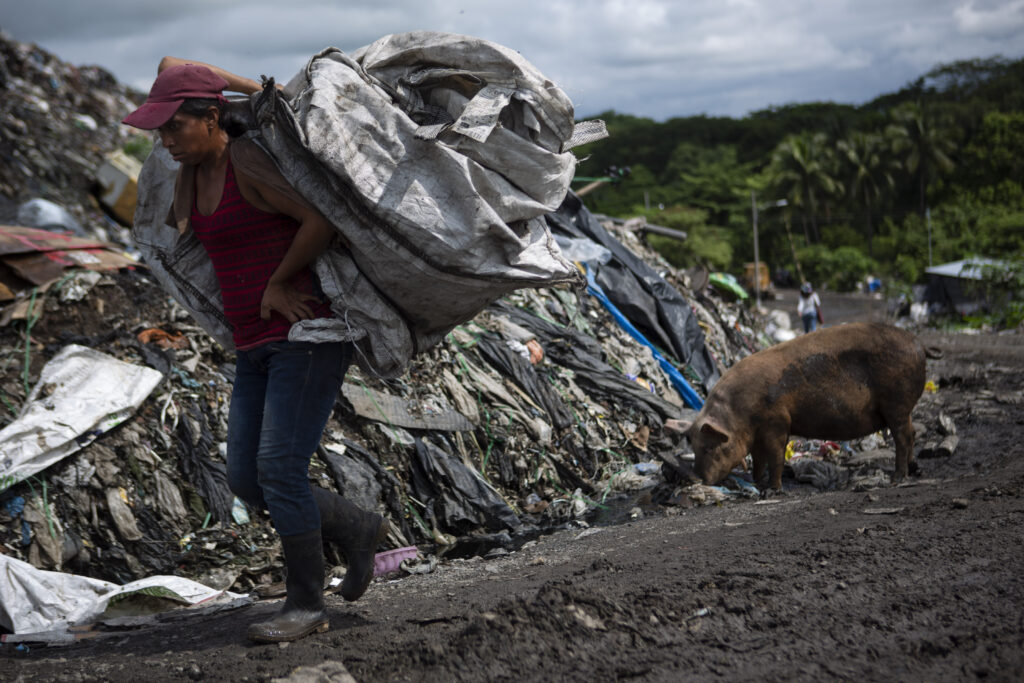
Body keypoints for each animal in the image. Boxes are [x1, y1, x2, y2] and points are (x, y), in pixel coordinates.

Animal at [688, 325, 929, 491]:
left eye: (709, 448)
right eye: (694, 448)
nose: (697, 479)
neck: (739, 414)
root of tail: (918, 344)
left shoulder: (777, 420)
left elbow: (775, 455)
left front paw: (772, 490)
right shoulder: (756, 435)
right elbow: (758, 458)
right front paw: (757, 483)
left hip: (896, 402)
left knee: (903, 437)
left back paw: (897, 478)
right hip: (902, 408)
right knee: (912, 433)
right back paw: (914, 470)